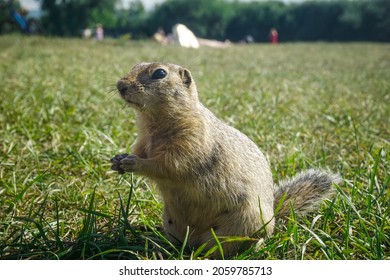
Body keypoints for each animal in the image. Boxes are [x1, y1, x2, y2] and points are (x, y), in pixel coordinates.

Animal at [110, 61, 342, 258]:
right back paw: (158, 246)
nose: (120, 85)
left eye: (159, 73)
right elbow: (143, 154)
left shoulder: (190, 143)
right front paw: (117, 159)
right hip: (172, 224)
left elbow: (166, 166)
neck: (153, 124)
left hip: (238, 226)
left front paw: (134, 163)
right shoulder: (143, 142)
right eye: (135, 65)